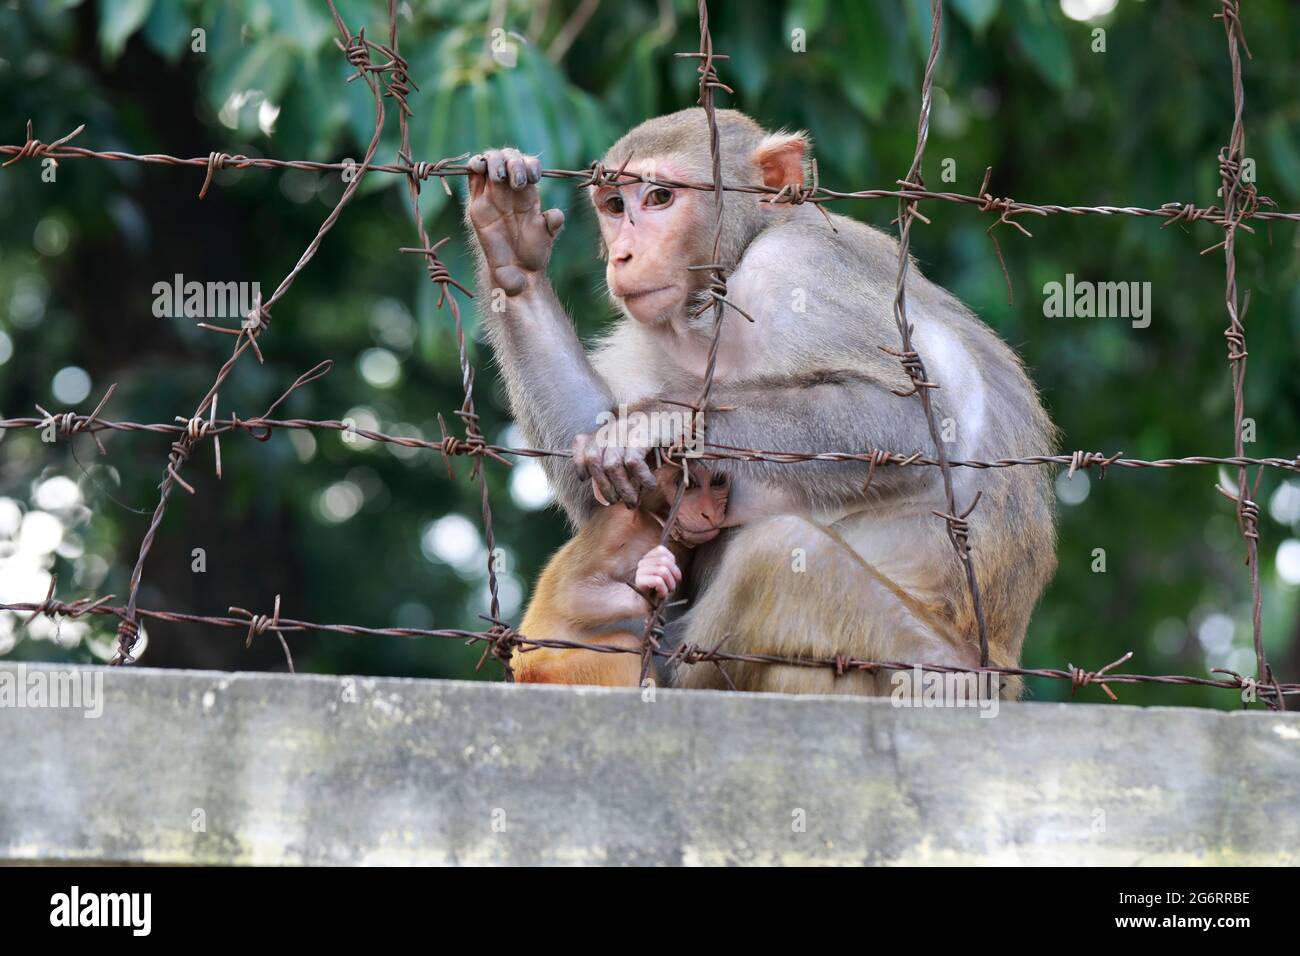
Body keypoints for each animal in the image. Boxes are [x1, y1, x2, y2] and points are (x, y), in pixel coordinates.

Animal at [511, 462, 731, 686]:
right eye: (686, 483)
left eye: (717, 481)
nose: (709, 513)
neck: (650, 523)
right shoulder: (616, 525)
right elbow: (571, 595)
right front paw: (646, 585)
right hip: (563, 671)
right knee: (624, 646)